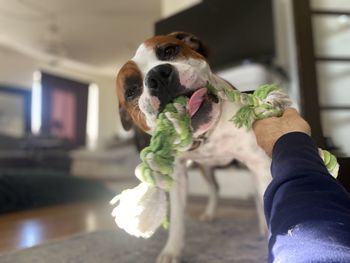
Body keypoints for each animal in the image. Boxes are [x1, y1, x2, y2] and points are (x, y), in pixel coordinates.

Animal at [116, 32, 288, 262]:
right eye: (131, 91)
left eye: (169, 50)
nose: (158, 76)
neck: (207, 136)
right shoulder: (178, 176)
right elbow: (177, 218)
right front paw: (171, 250)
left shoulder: (257, 162)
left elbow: (267, 199)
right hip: (206, 169)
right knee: (214, 189)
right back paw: (209, 213)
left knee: (254, 192)